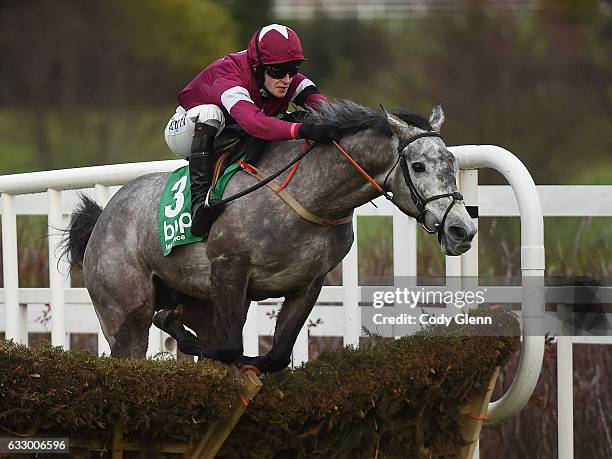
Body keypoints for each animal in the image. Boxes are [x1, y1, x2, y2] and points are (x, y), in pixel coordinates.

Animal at [65, 100, 478, 374]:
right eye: (418, 165)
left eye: (453, 163)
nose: (461, 229)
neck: (308, 197)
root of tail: (103, 217)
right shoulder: (228, 269)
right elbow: (229, 348)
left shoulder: (307, 283)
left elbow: (276, 355)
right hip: (125, 313)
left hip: (197, 301)